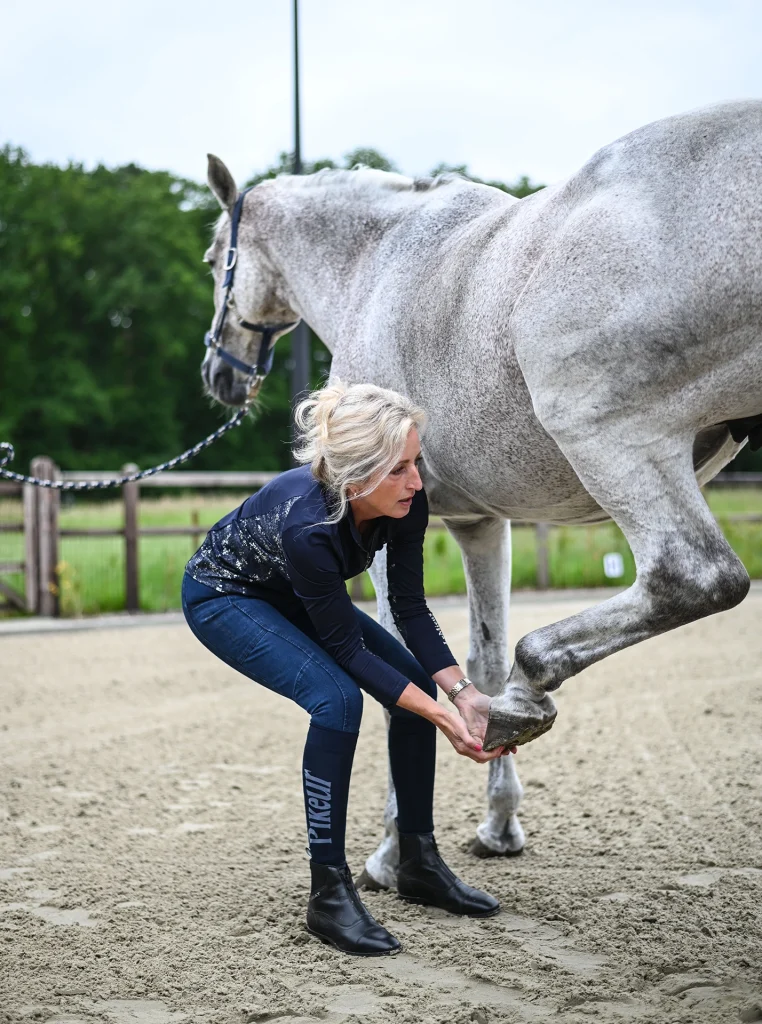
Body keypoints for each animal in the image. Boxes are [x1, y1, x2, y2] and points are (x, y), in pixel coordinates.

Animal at [199, 100, 761, 887]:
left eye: (214, 255)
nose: (219, 373)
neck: (376, 260)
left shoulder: (389, 533)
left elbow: (404, 678)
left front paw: (392, 853)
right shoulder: (480, 524)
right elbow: (477, 661)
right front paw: (499, 823)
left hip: (610, 435)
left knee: (692, 576)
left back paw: (531, 686)